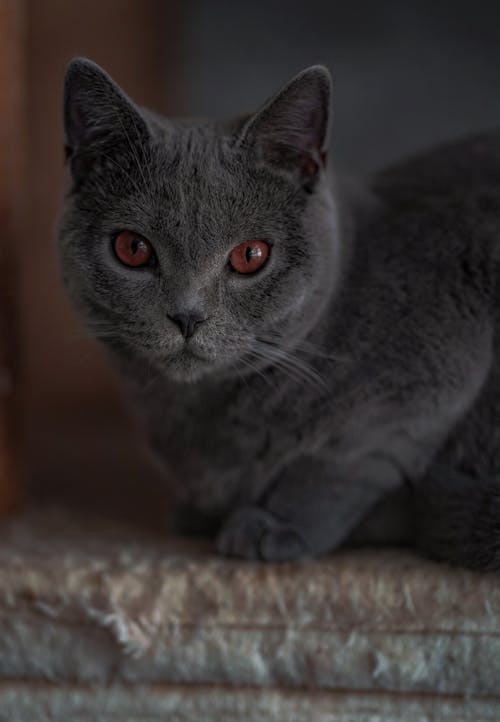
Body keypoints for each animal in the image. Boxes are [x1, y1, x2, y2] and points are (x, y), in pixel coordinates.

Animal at [56, 57, 500, 568]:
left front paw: (276, 524)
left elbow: (341, 461)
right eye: (132, 248)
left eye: (250, 255)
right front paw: (200, 513)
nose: (187, 316)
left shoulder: (432, 363)